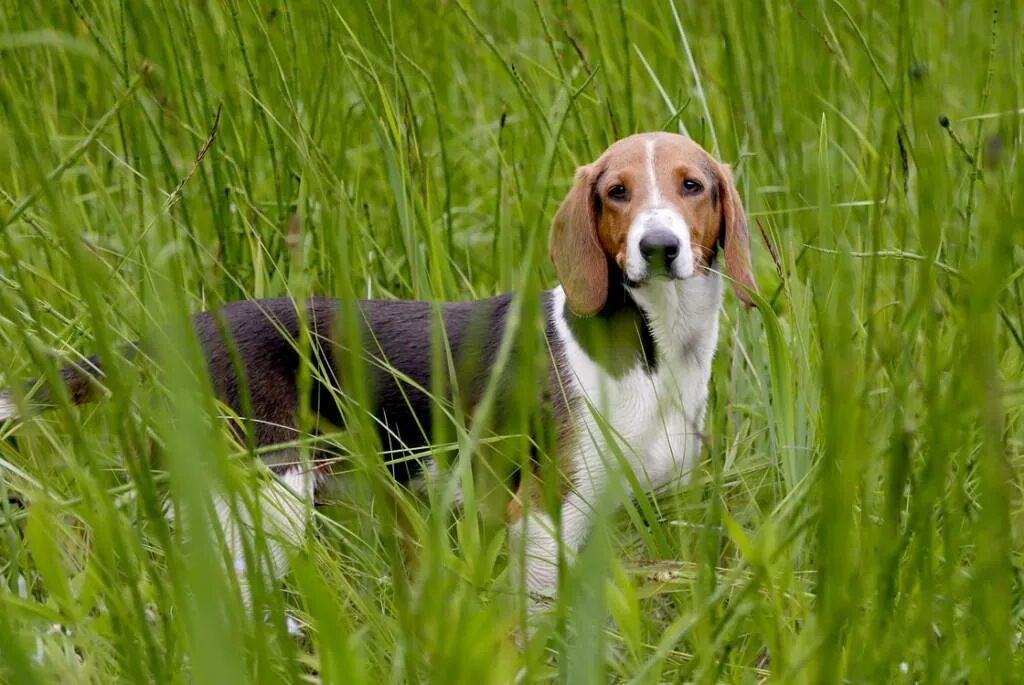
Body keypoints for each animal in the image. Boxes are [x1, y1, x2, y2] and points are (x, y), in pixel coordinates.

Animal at [0, 131, 753, 622]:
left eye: (692, 185)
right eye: (616, 192)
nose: (659, 247)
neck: (656, 343)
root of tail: (189, 328)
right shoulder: (543, 516)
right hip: (269, 494)